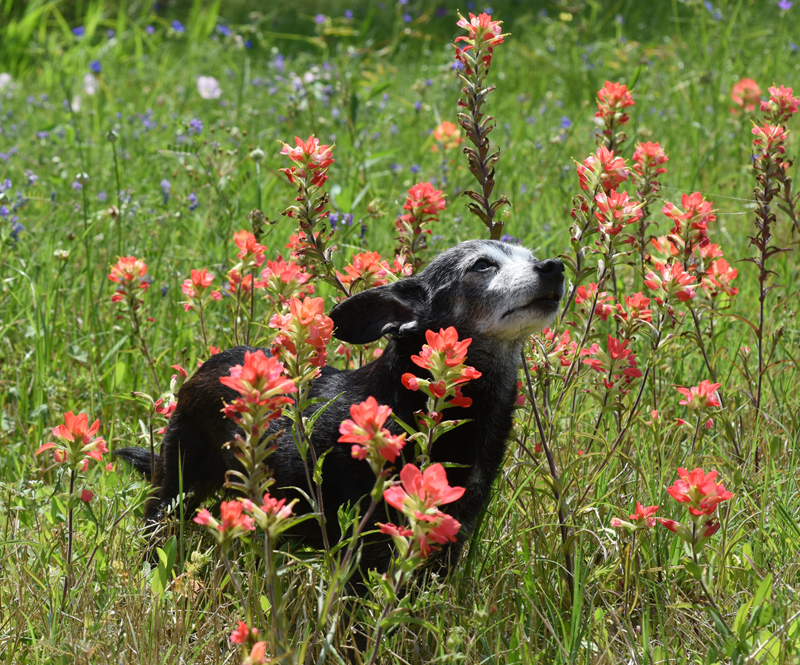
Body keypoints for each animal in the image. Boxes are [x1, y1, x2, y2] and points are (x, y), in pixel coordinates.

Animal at [115, 239, 565, 574]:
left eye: (529, 256)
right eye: (482, 265)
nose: (554, 266)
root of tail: (205, 368)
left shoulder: (448, 538)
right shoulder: (369, 544)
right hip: (177, 485)